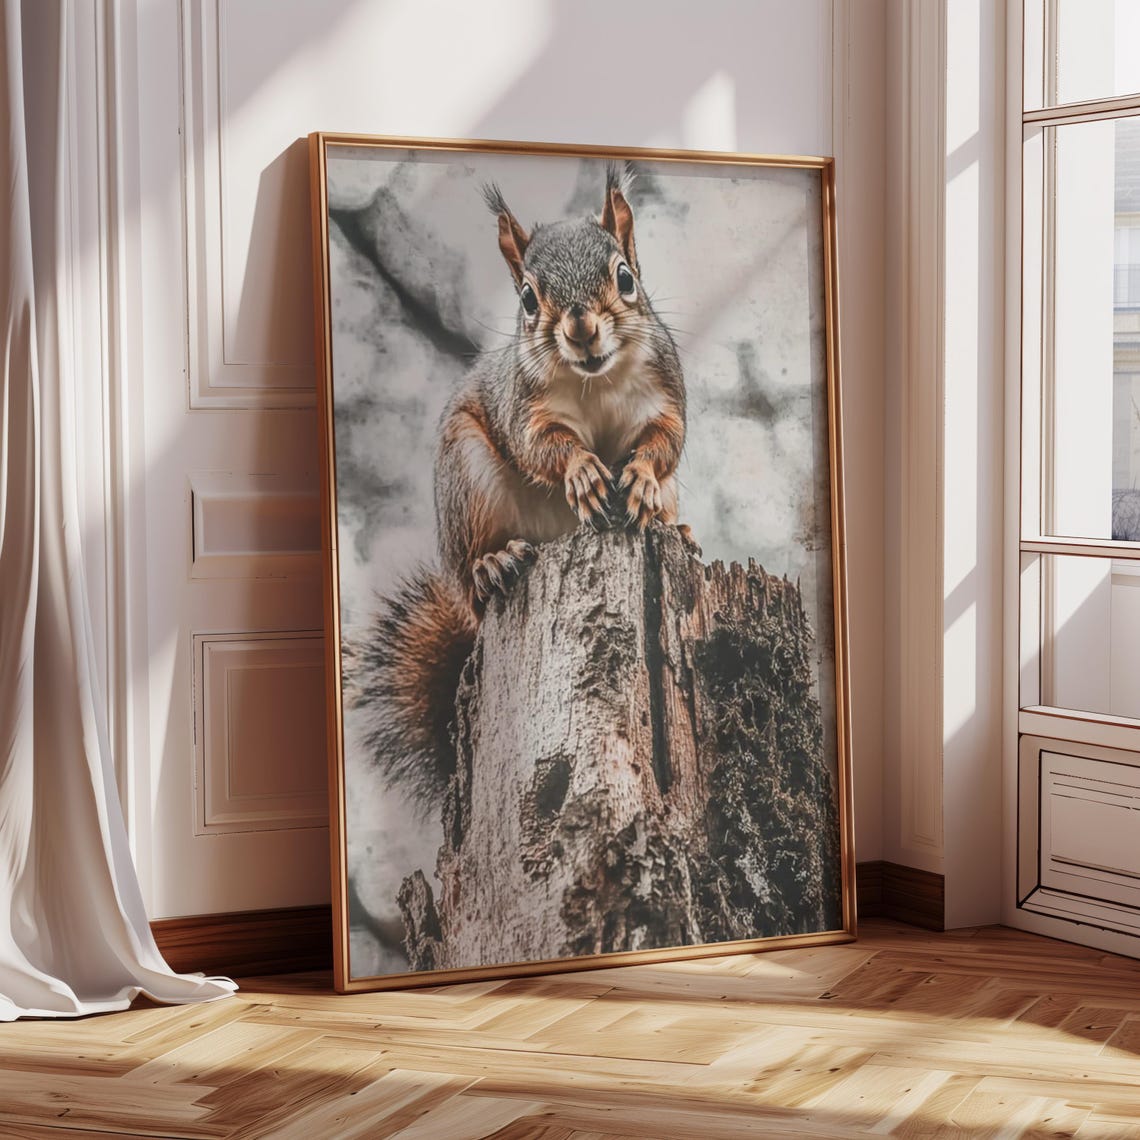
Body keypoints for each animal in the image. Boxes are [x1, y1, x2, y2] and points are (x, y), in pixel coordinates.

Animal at [352, 163, 697, 806]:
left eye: (625, 277)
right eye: (529, 298)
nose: (581, 326)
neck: (596, 380)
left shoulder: (666, 395)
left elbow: (665, 442)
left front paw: (637, 479)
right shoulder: (526, 406)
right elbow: (542, 446)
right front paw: (582, 471)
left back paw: (677, 528)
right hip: (466, 479)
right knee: (473, 575)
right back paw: (494, 564)